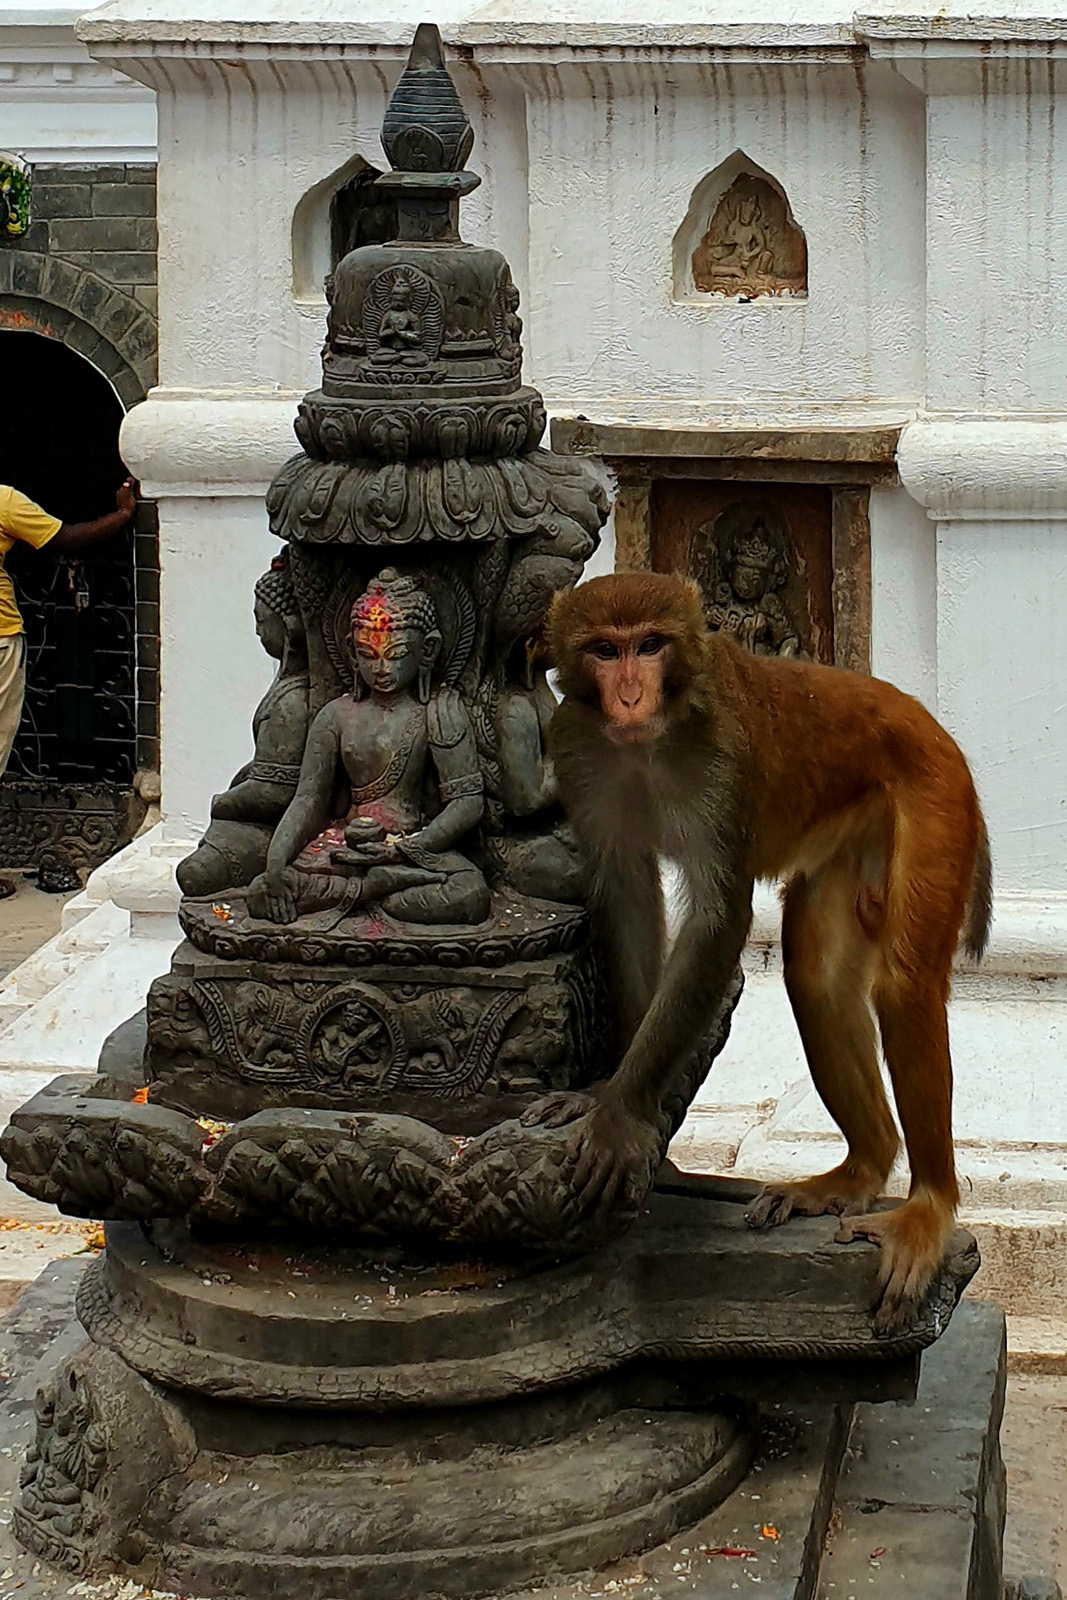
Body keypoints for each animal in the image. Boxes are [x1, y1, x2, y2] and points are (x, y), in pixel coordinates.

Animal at [531, 572, 998, 1324]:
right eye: (605, 649)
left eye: (650, 645)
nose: (628, 695)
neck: (648, 744)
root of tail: (924, 719)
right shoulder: (576, 747)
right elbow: (626, 897)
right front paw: (617, 1098)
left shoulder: (722, 763)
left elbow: (718, 920)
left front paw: (618, 1116)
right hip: (856, 833)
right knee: (816, 978)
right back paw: (858, 1172)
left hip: (934, 798)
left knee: (903, 987)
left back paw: (928, 1209)